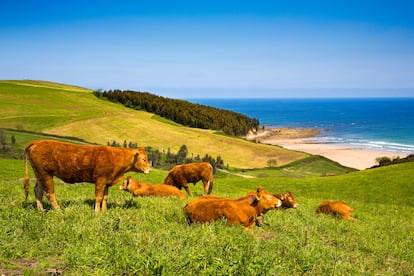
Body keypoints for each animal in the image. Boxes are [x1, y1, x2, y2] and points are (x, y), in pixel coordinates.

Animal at [22, 140, 150, 213]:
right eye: (144, 159)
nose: (149, 170)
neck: (116, 157)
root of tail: (38, 141)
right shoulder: (100, 179)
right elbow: (98, 197)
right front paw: (97, 212)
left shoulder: (107, 181)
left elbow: (105, 197)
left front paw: (104, 211)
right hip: (46, 174)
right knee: (49, 193)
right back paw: (58, 210)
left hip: (40, 174)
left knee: (38, 191)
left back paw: (41, 210)